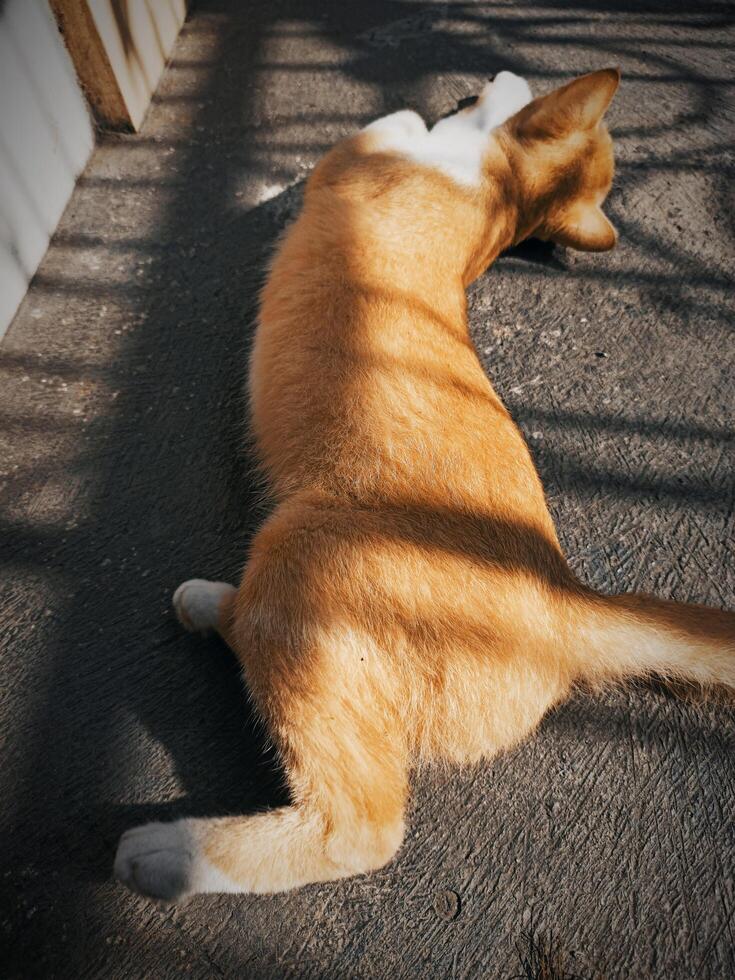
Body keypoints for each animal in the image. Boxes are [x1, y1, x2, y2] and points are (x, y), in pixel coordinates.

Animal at [115, 69, 735, 904]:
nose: (501, 71)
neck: (498, 199)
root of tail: (567, 600)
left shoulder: (367, 146)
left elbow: (401, 116)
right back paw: (213, 603)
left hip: (302, 546)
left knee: (361, 827)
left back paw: (166, 854)